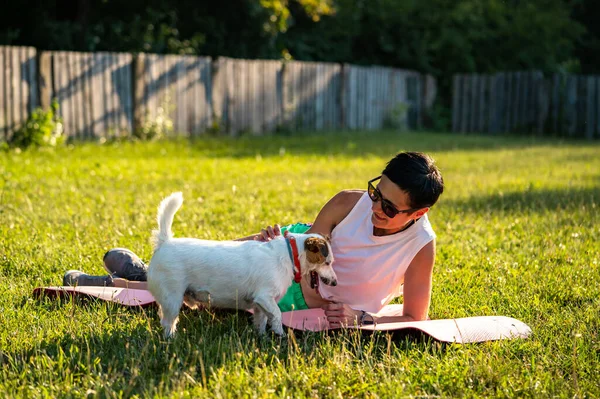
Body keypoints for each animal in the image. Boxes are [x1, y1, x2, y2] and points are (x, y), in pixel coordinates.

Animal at [147, 193, 338, 338]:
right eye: (327, 262)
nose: (336, 283)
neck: (290, 255)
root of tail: (164, 242)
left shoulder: (259, 304)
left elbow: (262, 320)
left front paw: (262, 337)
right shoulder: (265, 296)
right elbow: (276, 315)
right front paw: (280, 336)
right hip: (172, 298)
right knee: (168, 321)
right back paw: (171, 338)